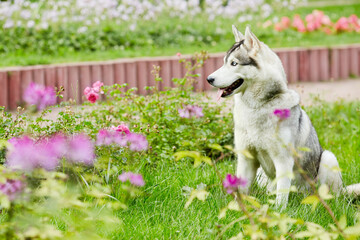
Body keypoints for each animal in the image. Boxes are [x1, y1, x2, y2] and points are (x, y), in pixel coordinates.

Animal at [207, 24, 358, 208]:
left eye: (234, 63)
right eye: (224, 62)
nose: (209, 79)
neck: (258, 107)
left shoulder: (283, 160)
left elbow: (282, 192)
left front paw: (278, 211)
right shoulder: (246, 158)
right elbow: (241, 190)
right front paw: (238, 208)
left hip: (328, 159)